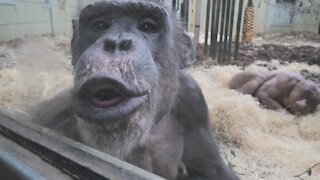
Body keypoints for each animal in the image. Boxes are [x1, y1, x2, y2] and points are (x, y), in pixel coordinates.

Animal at [41, 1, 239, 179]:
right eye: (100, 24)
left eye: (147, 26)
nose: (116, 42)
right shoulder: (56, 114)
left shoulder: (194, 102)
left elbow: (211, 168)